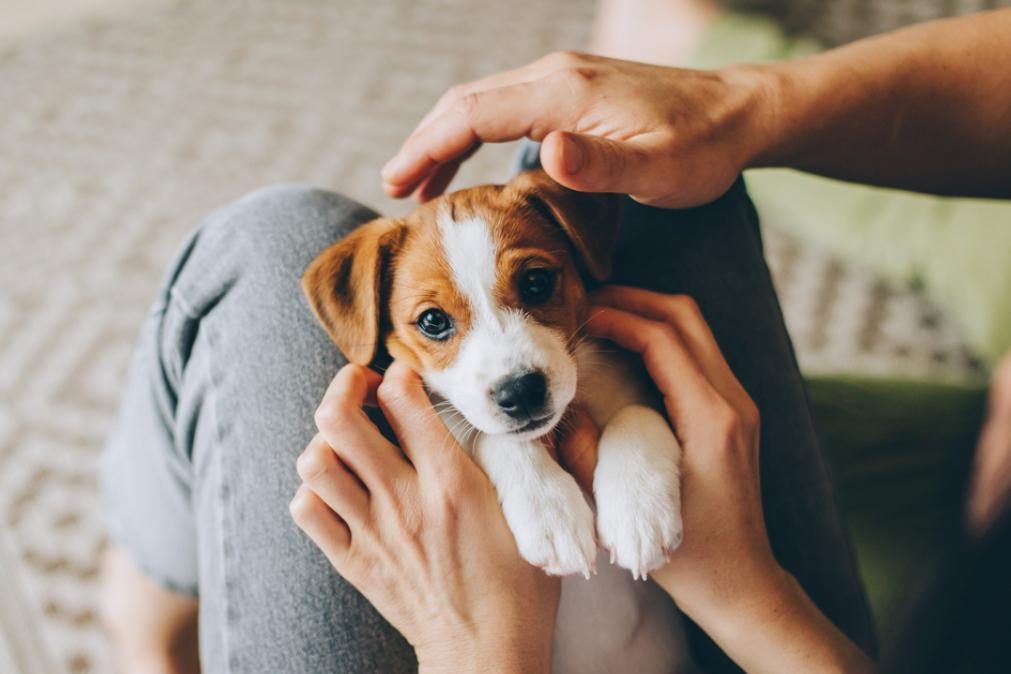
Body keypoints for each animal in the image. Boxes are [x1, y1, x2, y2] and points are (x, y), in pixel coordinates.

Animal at [303, 169, 691, 674]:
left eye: (536, 282)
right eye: (432, 320)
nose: (520, 393)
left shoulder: (637, 389)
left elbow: (636, 412)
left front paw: (639, 511)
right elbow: (494, 439)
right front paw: (548, 510)